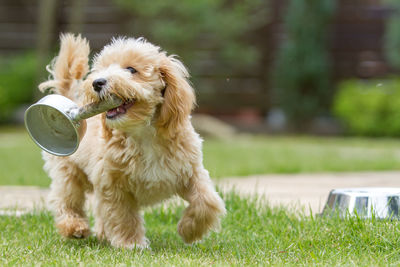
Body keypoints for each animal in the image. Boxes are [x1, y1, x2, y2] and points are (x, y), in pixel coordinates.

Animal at [39, 33, 227, 249]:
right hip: (68, 171)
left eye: (131, 69)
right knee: (66, 199)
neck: (143, 133)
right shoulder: (113, 184)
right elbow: (123, 216)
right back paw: (74, 226)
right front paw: (132, 244)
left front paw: (189, 230)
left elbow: (207, 201)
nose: (97, 82)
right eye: (102, 69)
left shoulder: (191, 171)